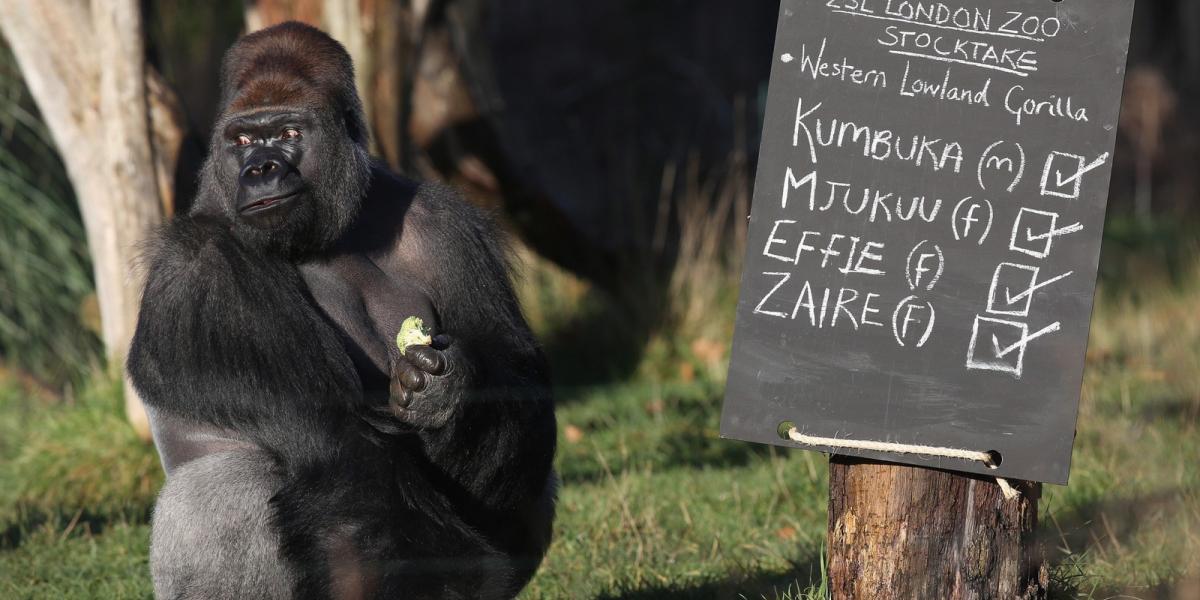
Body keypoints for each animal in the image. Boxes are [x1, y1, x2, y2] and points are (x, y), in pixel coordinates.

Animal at [129, 21, 559, 597]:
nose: (260, 168)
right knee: (225, 483)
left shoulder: (447, 226)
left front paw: (450, 389)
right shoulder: (197, 271)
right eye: (242, 140)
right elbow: (345, 451)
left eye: (290, 134)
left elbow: (514, 371)